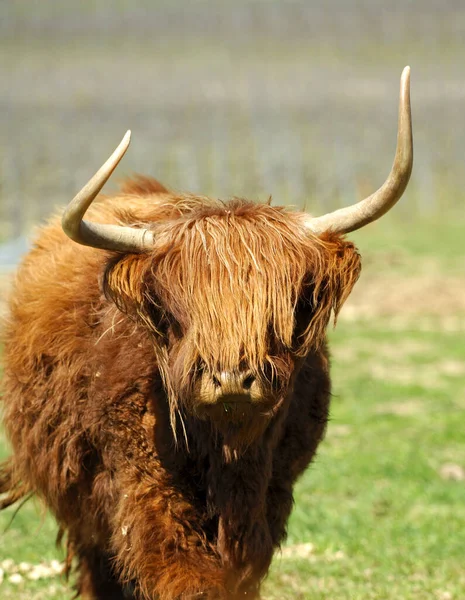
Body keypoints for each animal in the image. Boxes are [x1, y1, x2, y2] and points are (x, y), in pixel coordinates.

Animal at [0, 68, 414, 596]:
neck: (228, 452)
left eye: (284, 309)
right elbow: (185, 574)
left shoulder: (271, 497)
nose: (233, 379)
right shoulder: (145, 489)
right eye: (176, 310)